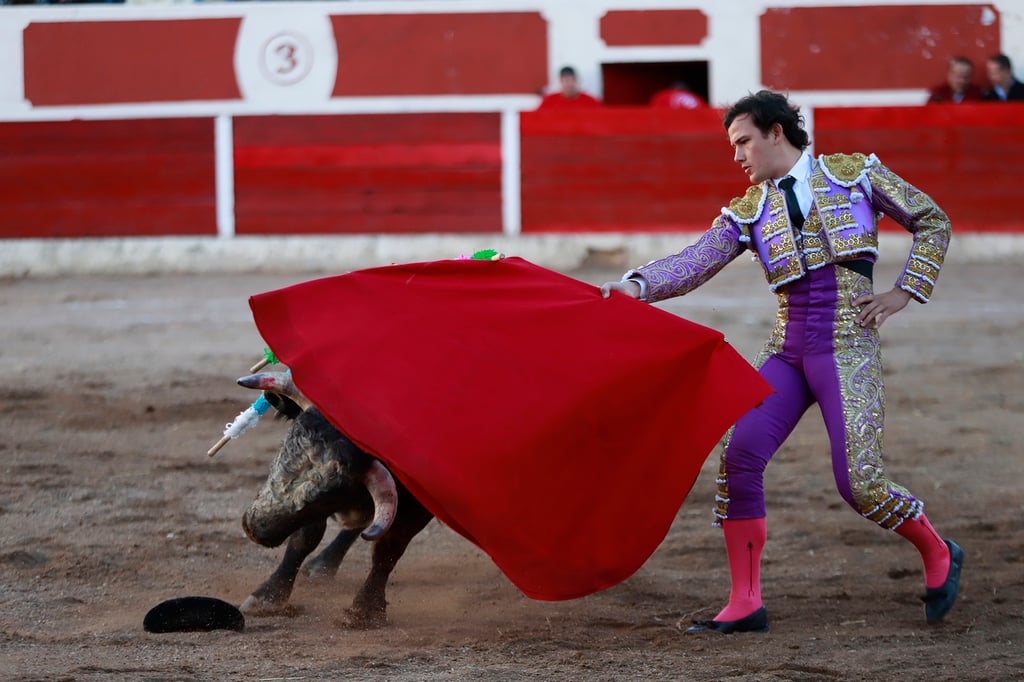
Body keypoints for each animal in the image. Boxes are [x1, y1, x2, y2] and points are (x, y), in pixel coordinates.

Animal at [235, 372, 432, 626]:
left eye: (331, 497)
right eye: (286, 446)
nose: (253, 527)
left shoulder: (422, 504)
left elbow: (388, 549)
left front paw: (365, 610)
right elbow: (304, 538)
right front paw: (268, 596)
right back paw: (322, 566)